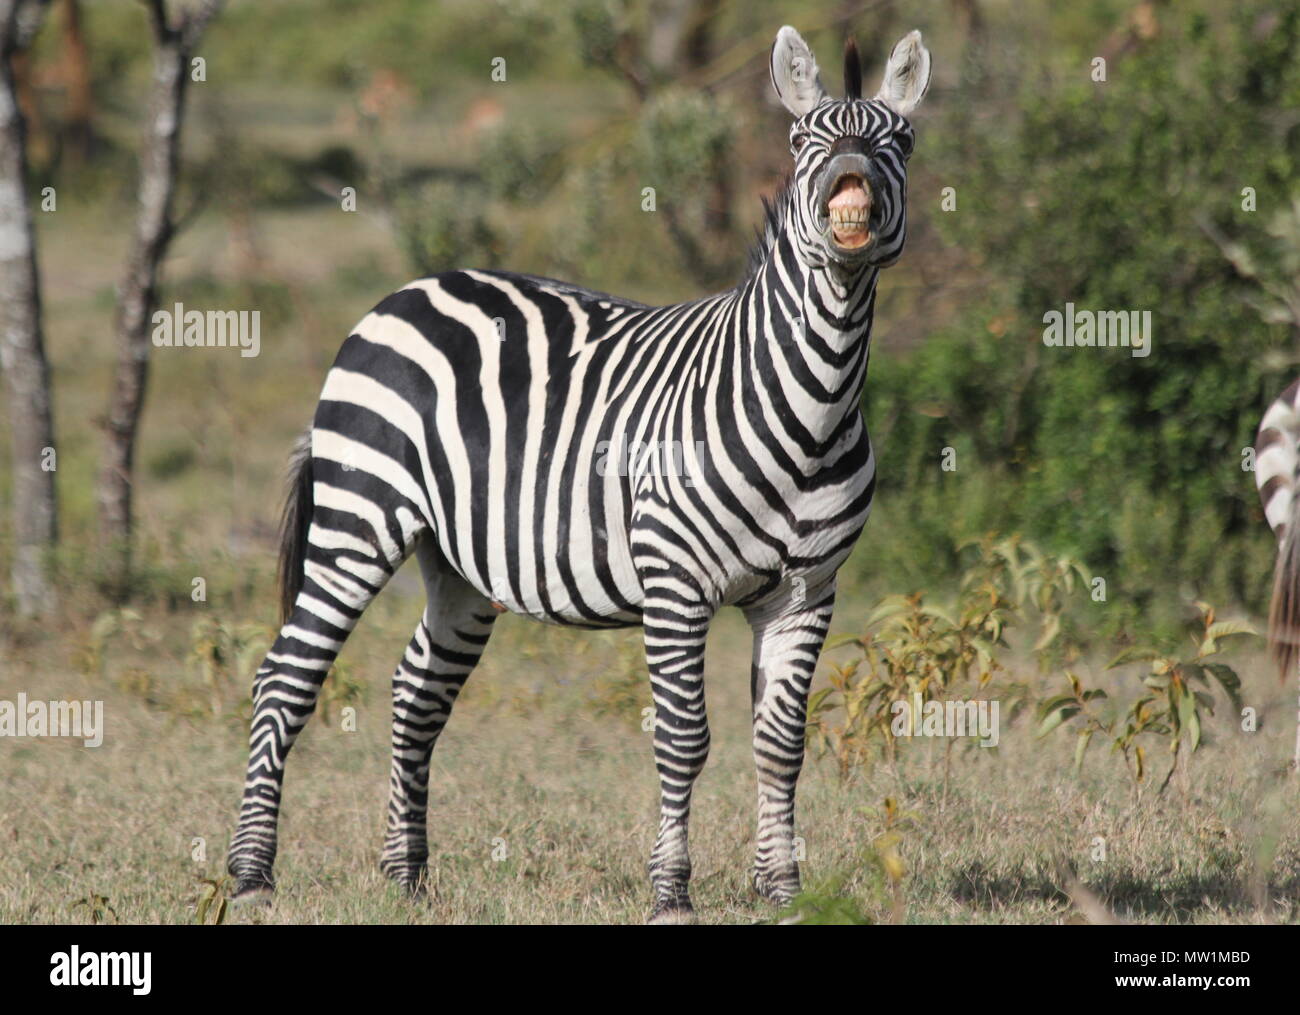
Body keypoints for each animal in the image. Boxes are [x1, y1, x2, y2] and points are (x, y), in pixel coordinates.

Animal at [227, 24, 932, 923]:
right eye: (805, 140)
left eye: (898, 142)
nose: (853, 184)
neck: (811, 403)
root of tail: (411, 288)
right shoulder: (675, 582)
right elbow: (685, 737)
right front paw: (671, 890)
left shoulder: (807, 591)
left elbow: (780, 742)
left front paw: (782, 889)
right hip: (359, 516)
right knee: (283, 678)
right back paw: (252, 874)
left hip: (458, 564)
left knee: (416, 693)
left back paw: (405, 874)